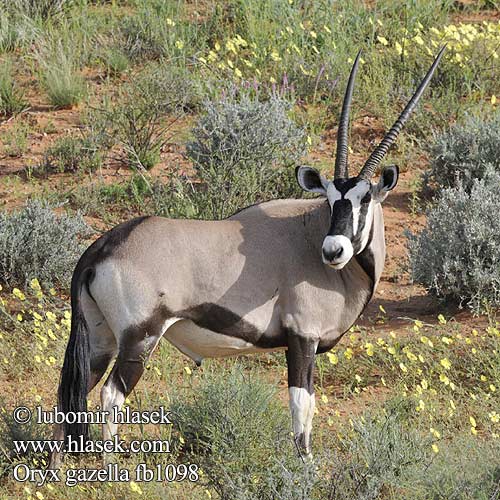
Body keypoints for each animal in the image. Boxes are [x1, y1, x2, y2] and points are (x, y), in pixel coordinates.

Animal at [50, 47, 448, 468]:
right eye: (330, 198)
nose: (333, 250)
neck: (307, 229)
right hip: (139, 338)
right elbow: (301, 405)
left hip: (100, 339)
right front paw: (304, 465)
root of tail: (103, 246)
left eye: (365, 198)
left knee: (71, 393)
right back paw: (113, 468)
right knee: (111, 394)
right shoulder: (302, 339)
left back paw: (56, 470)